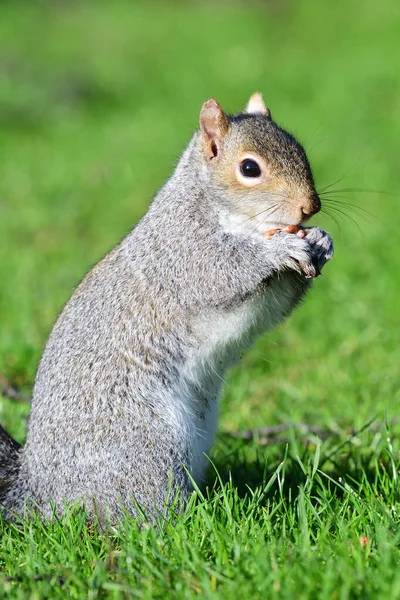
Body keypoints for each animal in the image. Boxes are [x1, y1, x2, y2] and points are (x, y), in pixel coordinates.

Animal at [0, 92, 334, 520]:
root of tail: (38, 491)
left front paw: (320, 240)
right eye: (249, 168)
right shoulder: (183, 252)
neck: (241, 222)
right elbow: (224, 270)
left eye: (300, 150)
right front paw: (281, 249)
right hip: (147, 444)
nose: (310, 207)